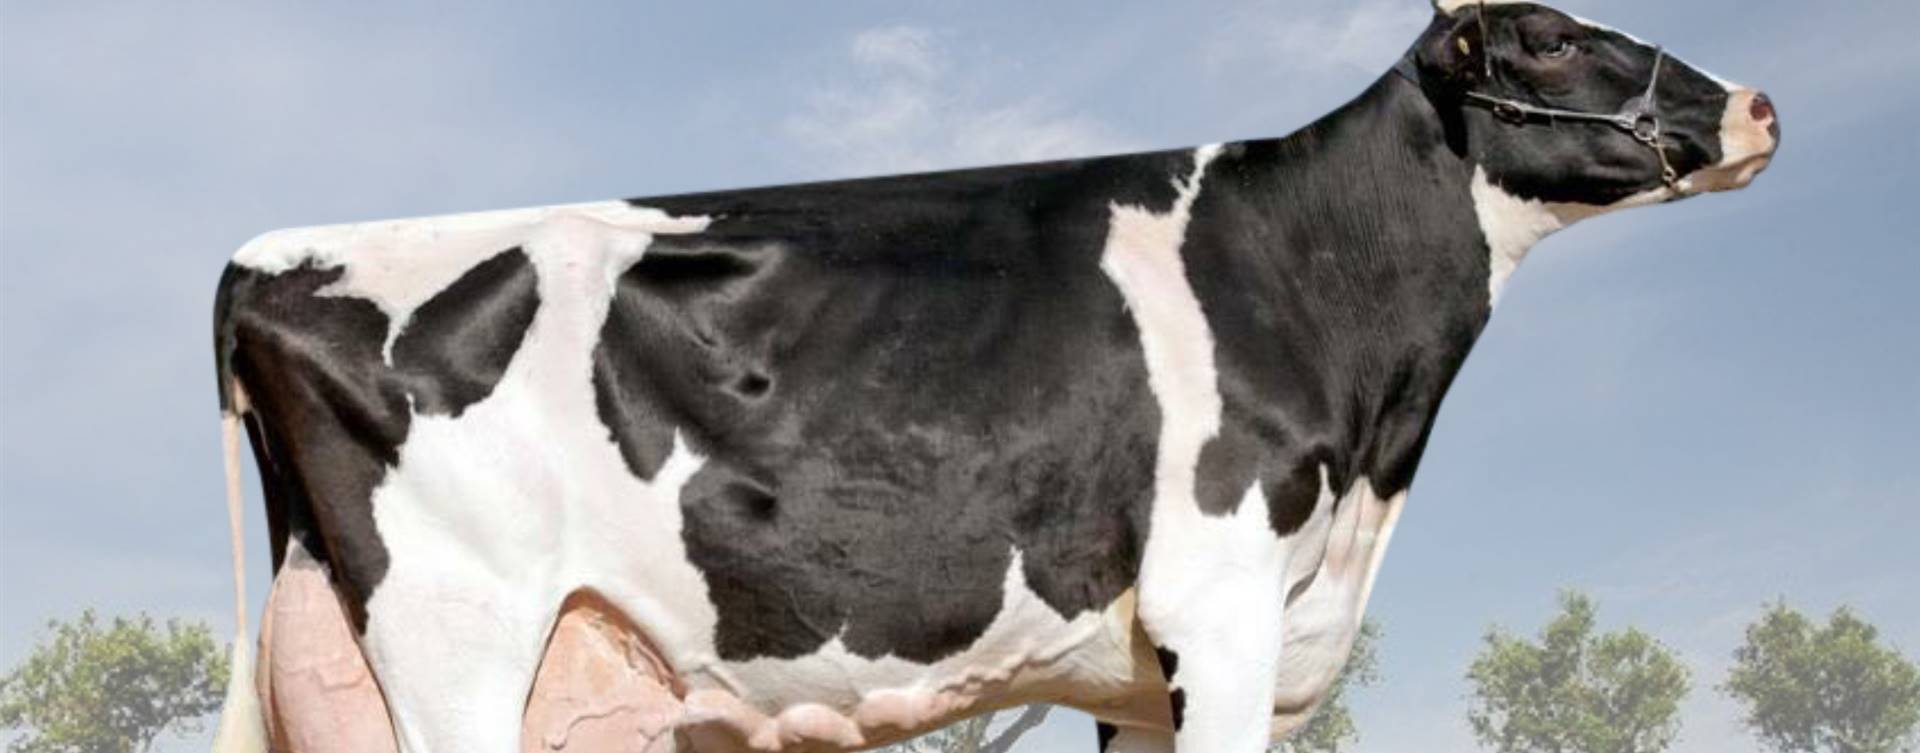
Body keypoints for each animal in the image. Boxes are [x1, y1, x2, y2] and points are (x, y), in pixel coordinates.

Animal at [207, 1, 1779, 752]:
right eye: (1554, 37)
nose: (1760, 105)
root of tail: (262, 259)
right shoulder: (1221, 611)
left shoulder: (1145, 679)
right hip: (453, 646)